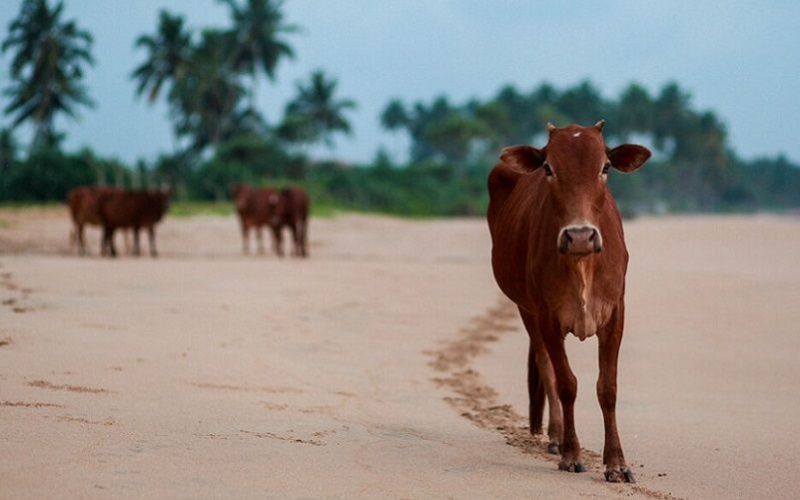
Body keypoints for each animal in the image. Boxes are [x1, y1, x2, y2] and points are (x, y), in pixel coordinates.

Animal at [488, 119, 648, 482]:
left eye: (605, 167)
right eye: (549, 168)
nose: (580, 236)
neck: (581, 263)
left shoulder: (615, 314)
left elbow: (608, 388)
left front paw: (617, 463)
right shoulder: (547, 316)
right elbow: (566, 384)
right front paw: (571, 455)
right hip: (526, 309)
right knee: (546, 368)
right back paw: (557, 436)